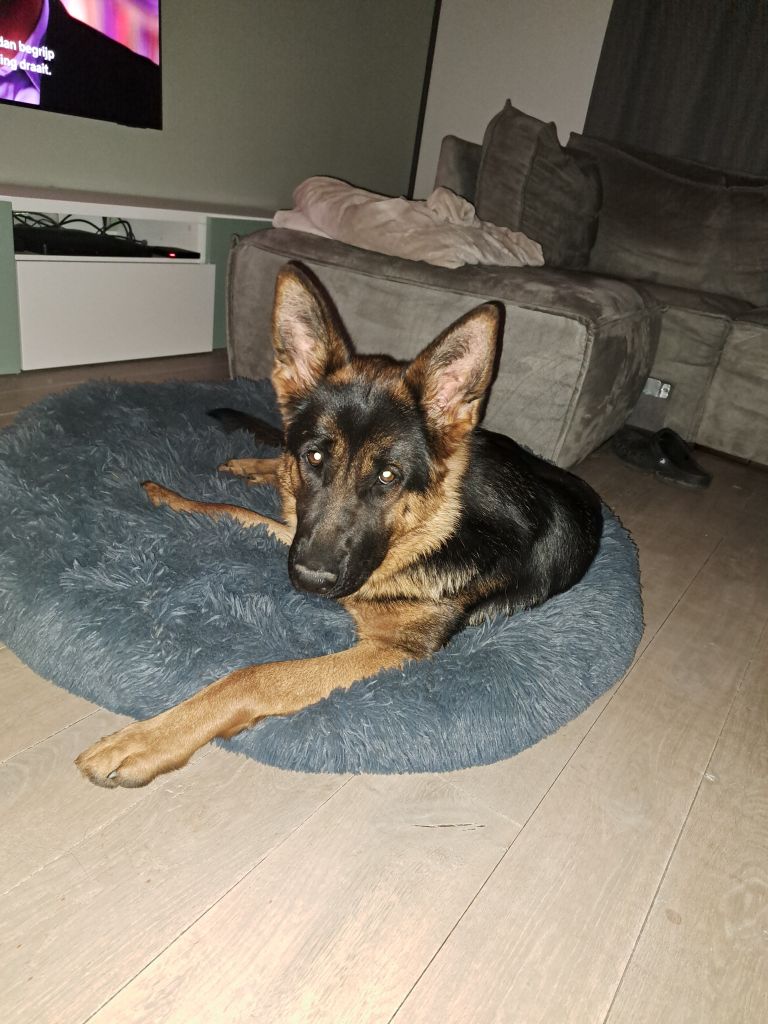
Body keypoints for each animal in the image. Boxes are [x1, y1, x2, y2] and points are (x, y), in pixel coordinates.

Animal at [75, 263, 603, 787]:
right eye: (314, 457)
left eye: (388, 477)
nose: (311, 581)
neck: (438, 529)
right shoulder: (303, 535)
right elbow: (237, 511)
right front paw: (173, 498)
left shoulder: (393, 648)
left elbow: (258, 676)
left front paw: (145, 740)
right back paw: (249, 466)